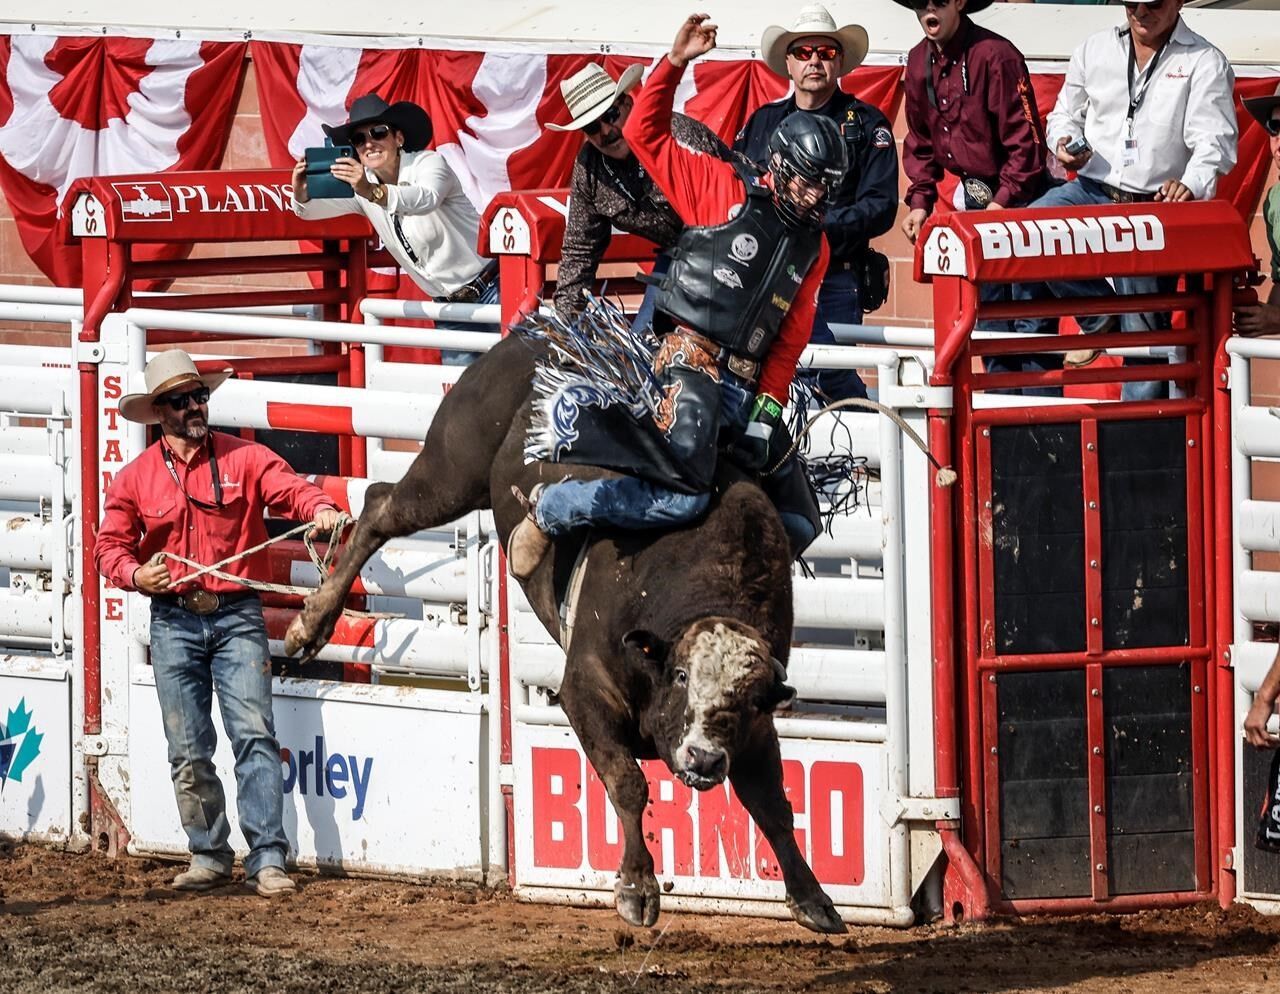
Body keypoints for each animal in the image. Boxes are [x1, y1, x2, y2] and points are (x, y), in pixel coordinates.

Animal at [284, 335, 844, 931]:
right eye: (680, 675)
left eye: (749, 696)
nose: (703, 759)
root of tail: (533, 333)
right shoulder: (584, 690)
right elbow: (628, 782)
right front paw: (637, 887)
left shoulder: (755, 731)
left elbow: (774, 807)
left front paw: (813, 898)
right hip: (452, 466)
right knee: (381, 506)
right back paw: (310, 625)